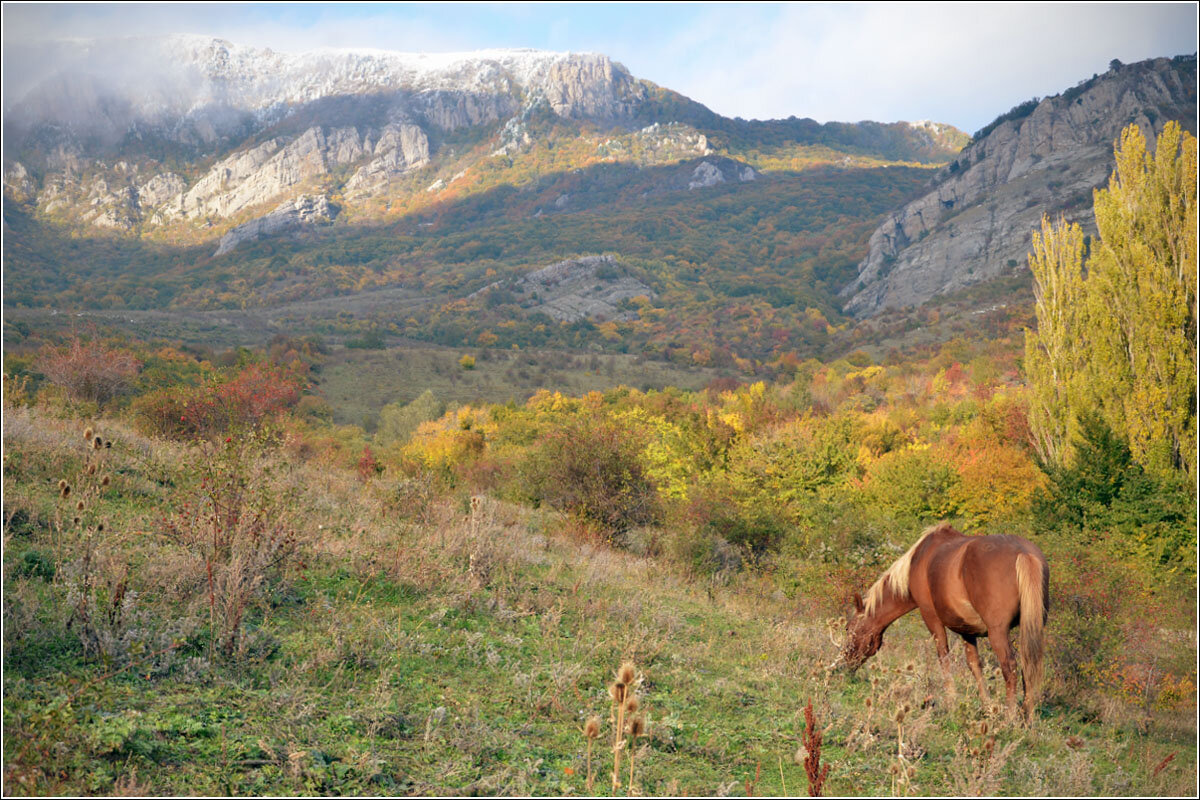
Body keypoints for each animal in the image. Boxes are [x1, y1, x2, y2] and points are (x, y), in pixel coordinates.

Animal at [830, 522, 1046, 724]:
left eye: (848, 628)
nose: (842, 666)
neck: (919, 560)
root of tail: (1023, 553)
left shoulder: (931, 618)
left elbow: (944, 657)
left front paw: (951, 702)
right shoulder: (967, 630)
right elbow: (974, 665)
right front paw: (987, 706)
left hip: (998, 633)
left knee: (1010, 668)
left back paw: (1011, 718)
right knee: (1029, 666)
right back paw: (1028, 716)